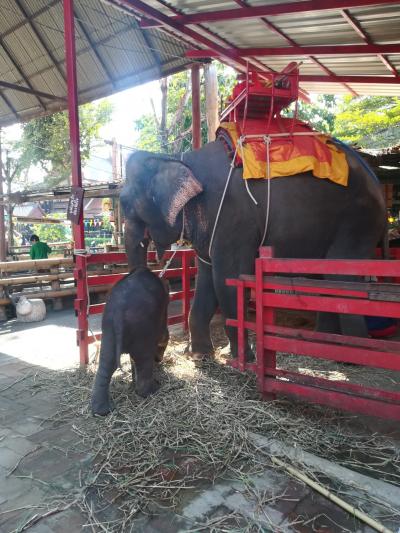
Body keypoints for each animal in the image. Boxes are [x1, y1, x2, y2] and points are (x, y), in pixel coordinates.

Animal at [91, 266, 169, 416]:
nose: (159, 360)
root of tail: (119, 312)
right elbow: (163, 336)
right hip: (143, 328)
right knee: (144, 360)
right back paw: (153, 390)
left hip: (108, 329)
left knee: (106, 364)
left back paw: (103, 411)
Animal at [119, 139, 388, 360]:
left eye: (124, 203)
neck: (177, 159)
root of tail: (376, 181)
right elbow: (206, 281)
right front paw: (201, 355)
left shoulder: (232, 217)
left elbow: (226, 279)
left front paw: (243, 360)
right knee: (325, 280)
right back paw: (323, 347)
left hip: (359, 220)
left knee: (341, 276)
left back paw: (355, 356)